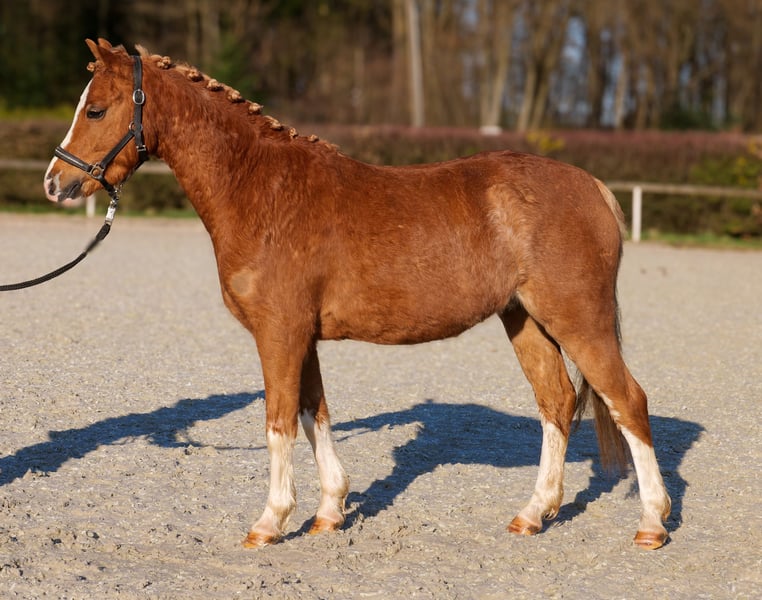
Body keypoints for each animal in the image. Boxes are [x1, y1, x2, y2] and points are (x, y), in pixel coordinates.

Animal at [43, 39, 671, 550]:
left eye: (95, 109)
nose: (56, 182)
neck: (261, 190)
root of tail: (590, 185)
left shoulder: (279, 334)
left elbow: (278, 421)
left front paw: (270, 522)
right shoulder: (302, 337)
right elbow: (314, 412)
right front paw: (329, 512)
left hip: (579, 322)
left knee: (628, 401)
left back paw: (652, 523)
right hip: (526, 321)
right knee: (557, 403)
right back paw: (533, 514)